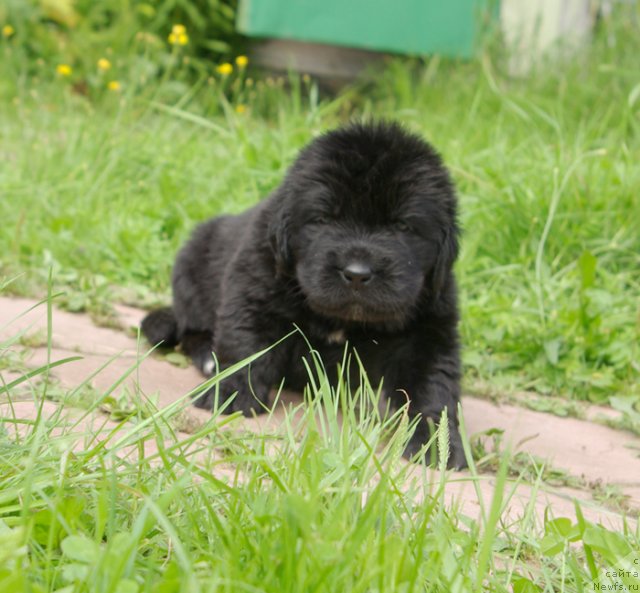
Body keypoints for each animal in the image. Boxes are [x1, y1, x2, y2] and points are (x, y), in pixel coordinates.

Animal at [141, 122, 464, 470]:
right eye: (323, 219)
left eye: (403, 226)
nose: (357, 273)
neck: (343, 320)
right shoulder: (254, 291)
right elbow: (244, 344)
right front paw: (229, 394)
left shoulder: (427, 331)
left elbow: (434, 388)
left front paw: (438, 444)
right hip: (191, 264)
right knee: (192, 329)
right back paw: (207, 358)